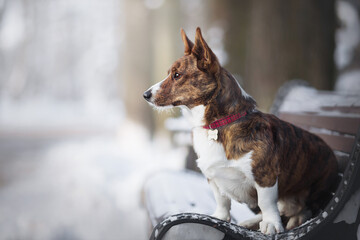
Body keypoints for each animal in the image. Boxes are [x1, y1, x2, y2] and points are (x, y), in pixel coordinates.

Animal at [143, 26, 338, 234]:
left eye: (177, 75)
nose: (145, 95)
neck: (218, 124)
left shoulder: (265, 175)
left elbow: (266, 202)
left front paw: (271, 224)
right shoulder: (213, 177)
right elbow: (222, 201)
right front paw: (220, 217)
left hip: (317, 188)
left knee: (304, 208)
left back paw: (295, 218)